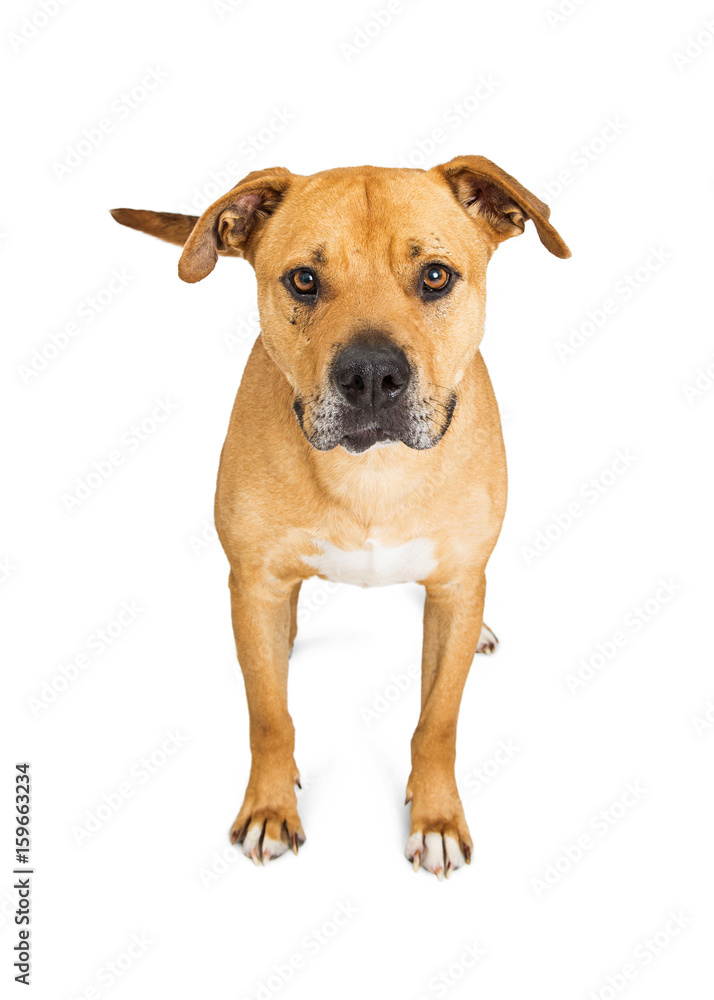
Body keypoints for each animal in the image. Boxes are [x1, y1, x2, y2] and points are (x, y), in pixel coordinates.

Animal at [111, 154, 568, 876]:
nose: (373, 376)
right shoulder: (254, 582)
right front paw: (270, 808)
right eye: (304, 279)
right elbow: (269, 716)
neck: (374, 473)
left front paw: (436, 818)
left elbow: (437, 722)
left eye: (435, 276)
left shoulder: (458, 585)